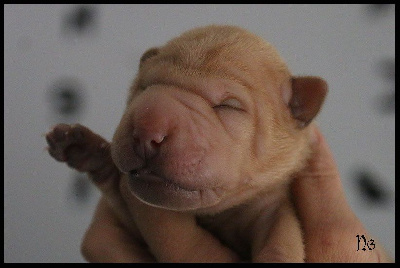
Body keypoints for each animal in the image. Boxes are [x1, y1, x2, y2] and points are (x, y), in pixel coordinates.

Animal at [47, 25, 328, 262]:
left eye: (228, 106)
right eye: (144, 87)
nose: (147, 128)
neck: (213, 215)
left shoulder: (273, 209)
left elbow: (281, 242)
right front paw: (86, 149)